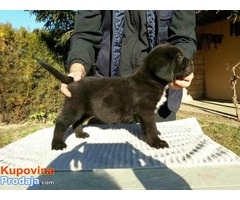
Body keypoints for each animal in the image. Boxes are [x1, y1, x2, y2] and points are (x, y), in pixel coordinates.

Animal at [36, 43, 194, 150]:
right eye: (180, 58)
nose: (192, 62)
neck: (152, 79)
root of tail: (73, 81)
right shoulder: (145, 111)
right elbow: (150, 126)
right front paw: (157, 142)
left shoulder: (145, 113)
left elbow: (148, 127)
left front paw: (155, 136)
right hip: (74, 107)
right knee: (61, 123)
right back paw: (57, 143)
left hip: (84, 110)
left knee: (77, 122)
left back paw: (80, 134)